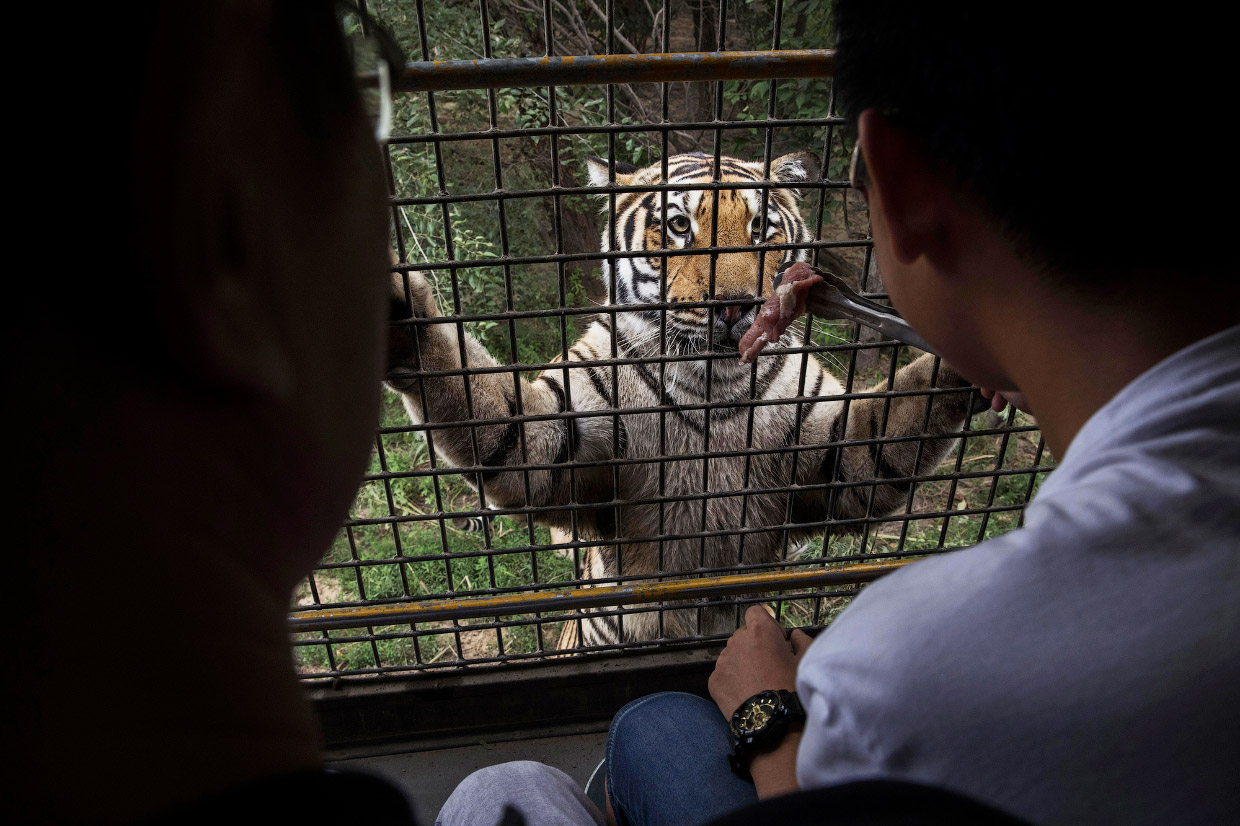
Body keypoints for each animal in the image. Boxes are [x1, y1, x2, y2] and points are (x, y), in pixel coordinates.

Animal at [386, 151, 977, 644]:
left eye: (760, 228)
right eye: (678, 227)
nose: (736, 306)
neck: (712, 388)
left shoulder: (836, 451)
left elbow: (888, 431)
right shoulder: (558, 433)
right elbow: (491, 412)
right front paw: (400, 311)